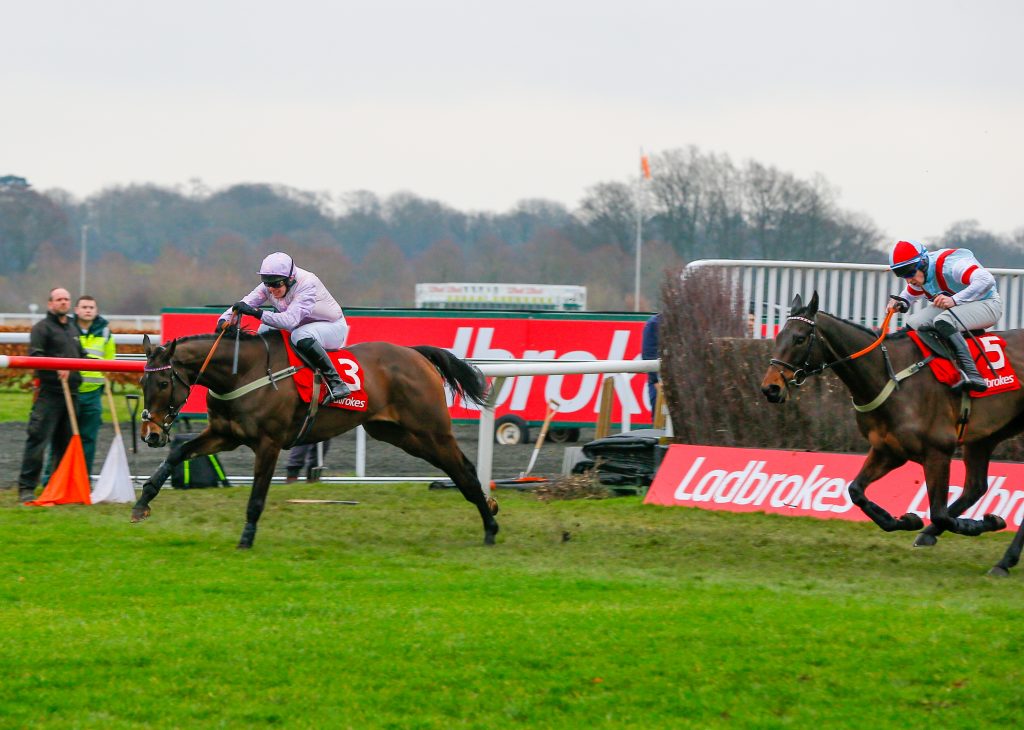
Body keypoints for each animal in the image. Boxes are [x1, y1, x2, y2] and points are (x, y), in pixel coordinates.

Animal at [132, 329, 499, 548]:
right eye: (142, 383)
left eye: (163, 383)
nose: (150, 434)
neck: (243, 372)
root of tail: (416, 354)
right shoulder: (224, 434)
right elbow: (178, 453)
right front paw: (141, 503)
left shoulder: (269, 443)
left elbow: (257, 496)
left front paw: (246, 538)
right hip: (401, 435)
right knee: (458, 469)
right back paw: (490, 511)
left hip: (430, 429)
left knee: (464, 470)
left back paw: (490, 526)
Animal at [761, 292, 1024, 573]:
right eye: (778, 336)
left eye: (799, 338)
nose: (770, 388)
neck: (891, 378)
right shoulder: (889, 450)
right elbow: (856, 491)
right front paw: (908, 520)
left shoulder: (938, 451)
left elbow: (940, 513)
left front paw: (987, 522)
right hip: (986, 436)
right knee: (975, 487)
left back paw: (1004, 561)